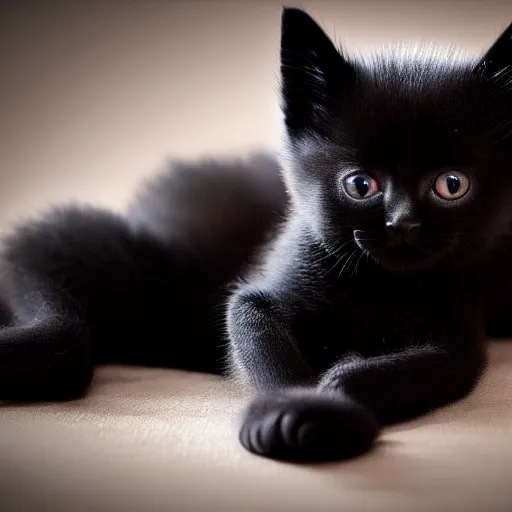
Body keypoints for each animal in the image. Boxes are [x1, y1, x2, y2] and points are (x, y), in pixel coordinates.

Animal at [1, 8, 512, 464]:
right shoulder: (271, 281)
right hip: (108, 258)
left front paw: (334, 395)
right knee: (67, 332)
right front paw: (299, 408)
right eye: (360, 184)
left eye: (451, 184)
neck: (380, 288)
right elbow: (254, 323)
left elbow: (434, 365)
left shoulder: (460, 332)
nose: (402, 224)